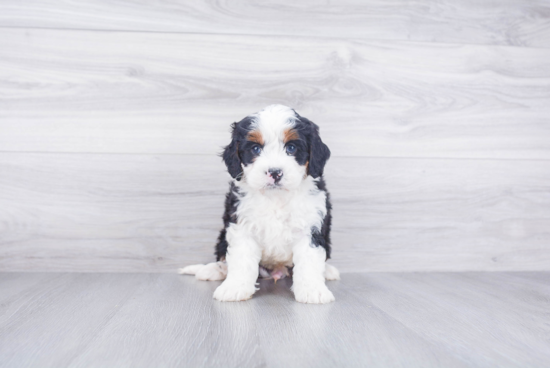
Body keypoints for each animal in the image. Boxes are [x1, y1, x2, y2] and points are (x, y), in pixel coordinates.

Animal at [179, 105, 338, 304]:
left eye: (291, 148)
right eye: (255, 149)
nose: (275, 172)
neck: (275, 197)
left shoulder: (311, 226)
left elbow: (310, 260)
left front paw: (313, 290)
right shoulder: (241, 225)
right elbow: (241, 259)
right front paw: (234, 288)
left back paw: (328, 271)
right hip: (222, 237)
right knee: (223, 257)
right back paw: (214, 269)